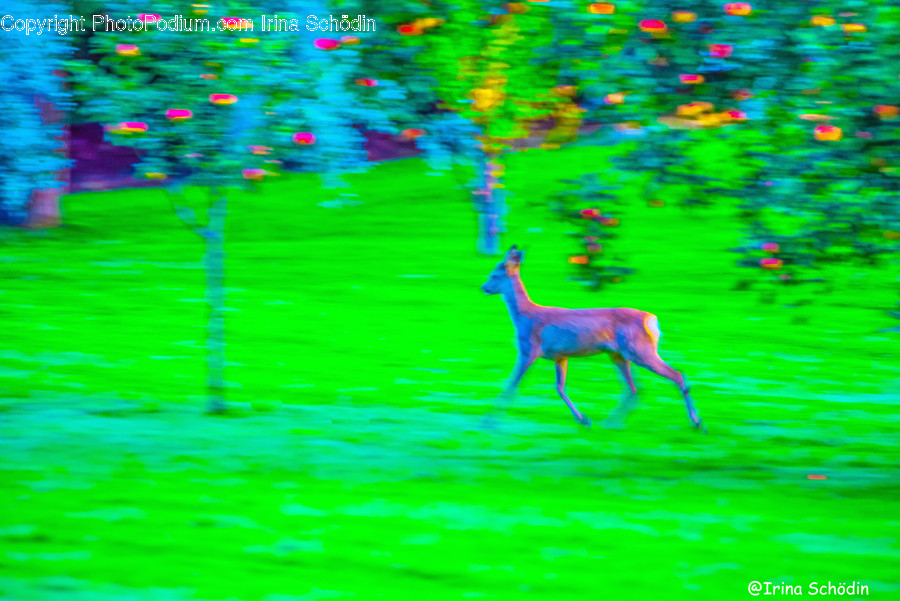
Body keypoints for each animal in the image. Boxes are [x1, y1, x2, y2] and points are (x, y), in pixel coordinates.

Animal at [480, 245, 703, 431]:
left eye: (494, 275)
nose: (484, 287)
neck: (524, 316)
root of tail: (652, 320)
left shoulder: (529, 349)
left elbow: (512, 384)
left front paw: (490, 421)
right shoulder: (560, 356)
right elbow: (559, 388)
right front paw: (584, 419)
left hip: (640, 351)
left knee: (676, 375)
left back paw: (697, 422)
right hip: (619, 355)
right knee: (635, 388)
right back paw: (612, 422)